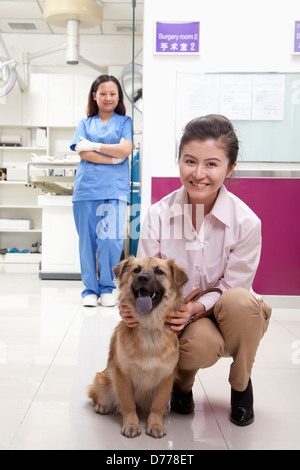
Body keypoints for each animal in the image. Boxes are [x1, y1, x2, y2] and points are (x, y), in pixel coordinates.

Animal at [88, 258, 189, 436]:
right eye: (136, 270)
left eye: (159, 271)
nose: (142, 278)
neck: (148, 327)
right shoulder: (122, 374)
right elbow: (128, 403)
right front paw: (131, 424)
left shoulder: (165, 377)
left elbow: (157, 405)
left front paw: (155, 425)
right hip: (102, 380)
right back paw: (101, 406)